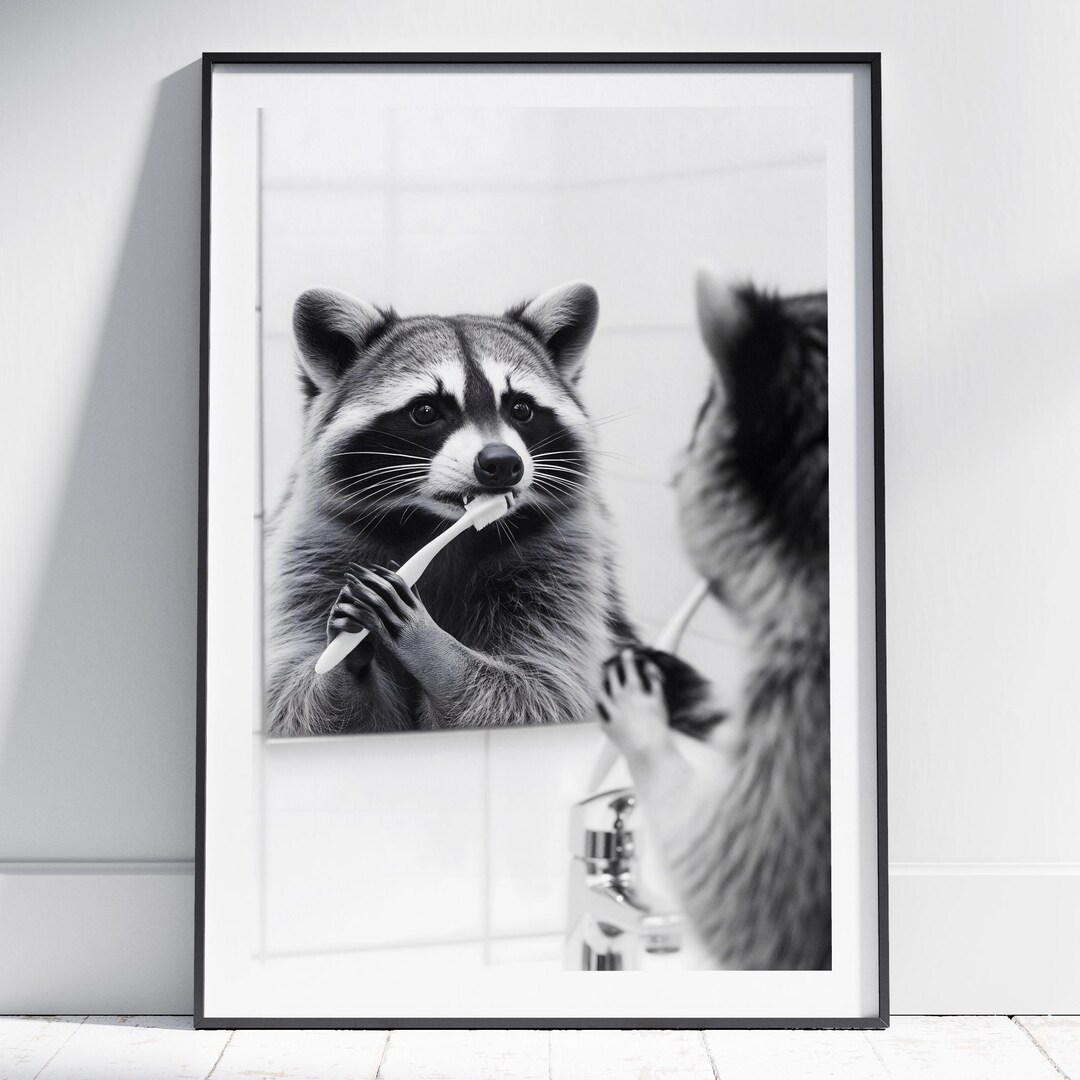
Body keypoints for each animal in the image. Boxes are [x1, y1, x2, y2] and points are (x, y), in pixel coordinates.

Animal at [264, 282, 635, 737]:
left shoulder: (563, 554)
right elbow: (291, 695)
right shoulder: (313, 546)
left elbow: (541, 687)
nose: (502, 463)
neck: (437, 525)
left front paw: (431, 646)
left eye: (521, 409)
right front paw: (340, 658)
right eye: (426, 411)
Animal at [598, 271, 830, 970]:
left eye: (702, 418)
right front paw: (679, 685)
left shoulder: (802, 735)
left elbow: (728, 890)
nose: (674, 469)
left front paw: (641, 719)